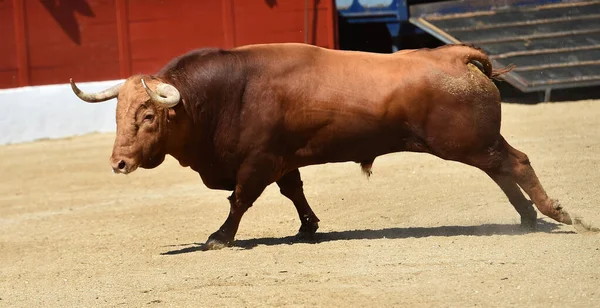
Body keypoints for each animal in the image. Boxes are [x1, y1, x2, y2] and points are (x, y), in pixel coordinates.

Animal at [69, 44, 576, 250]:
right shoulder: (282, 161)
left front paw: (219, 238)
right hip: (478, 142)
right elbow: (294, 191)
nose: (119, 163)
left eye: (148, 116)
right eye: (117, 115)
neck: (217, 97)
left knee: (516, 164)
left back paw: (554, 212)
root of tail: (456, 56)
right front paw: (308, 226)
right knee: (504, 169)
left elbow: (240, 201)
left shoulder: (258, 161)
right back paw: (527, 217)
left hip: (470, 142)